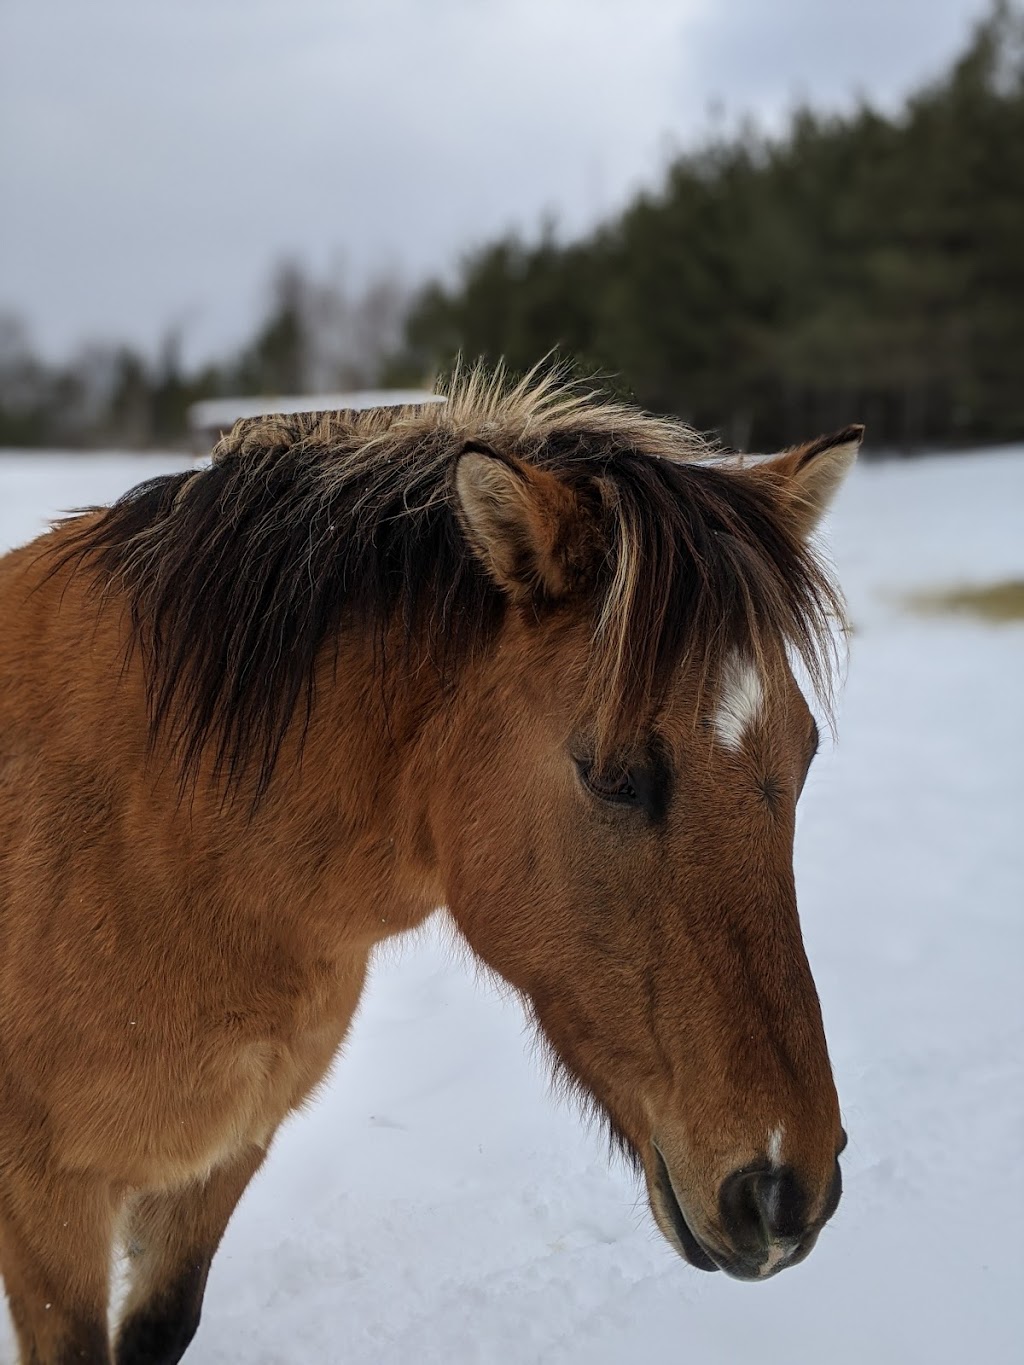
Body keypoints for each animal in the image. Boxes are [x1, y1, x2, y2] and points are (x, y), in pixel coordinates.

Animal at [0, 368, 862, 1359]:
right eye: (610, 775)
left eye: (804, 754)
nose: (787, 1193)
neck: (155, 846)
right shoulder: (45, 1199)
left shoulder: (219, 1160)